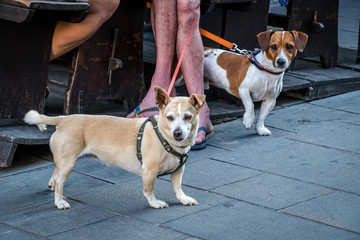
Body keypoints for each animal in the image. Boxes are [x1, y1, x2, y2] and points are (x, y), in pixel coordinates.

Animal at [23, 87, 205, 209]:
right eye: (170, 117)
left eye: (188, 117)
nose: (177, 132)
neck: (165, 136)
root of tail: (63, 119)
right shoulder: (149, 172)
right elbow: (149, 190)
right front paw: (155, 203)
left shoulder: (178, 171)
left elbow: (177, 187)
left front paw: (183, 199)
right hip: (68, 163)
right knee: (59, 181)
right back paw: (59, 202)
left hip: (64, 162)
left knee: (55, 173)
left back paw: (52, 187)